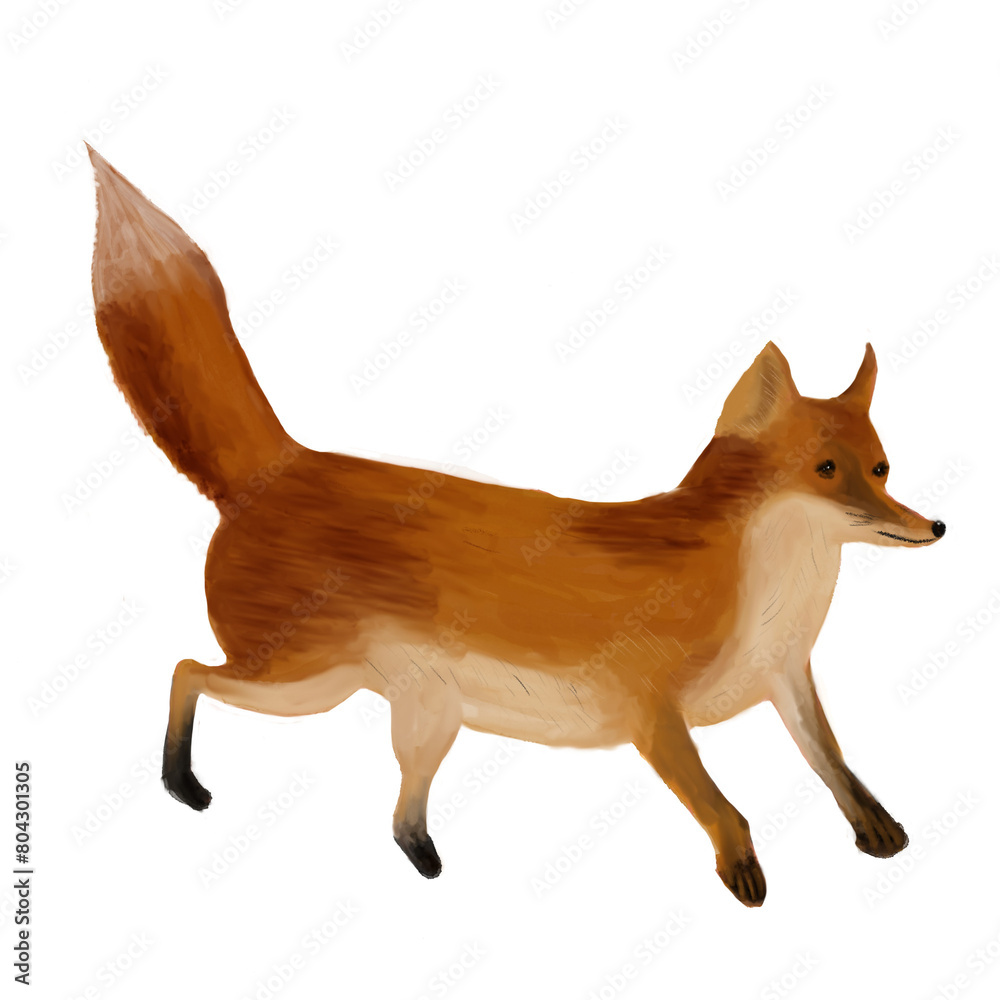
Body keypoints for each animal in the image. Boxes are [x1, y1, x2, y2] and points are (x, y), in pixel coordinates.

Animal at [86, 145, 946, 907]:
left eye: (882, 470)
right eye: (825, 471)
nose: (936, 526)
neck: (758, 596)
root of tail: (284, 463)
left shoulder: (786, 682)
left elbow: (837, 766)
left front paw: (879, 829)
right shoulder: (651, 715)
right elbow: (724, 808)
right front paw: (743, 872)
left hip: (413, 713)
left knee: (398, 818)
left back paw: (428, 865)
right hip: (300, 680)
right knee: (185, 670)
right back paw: (180, 783)